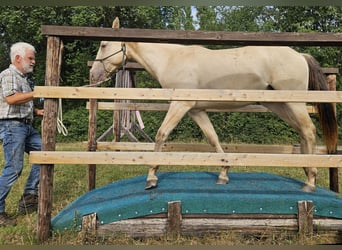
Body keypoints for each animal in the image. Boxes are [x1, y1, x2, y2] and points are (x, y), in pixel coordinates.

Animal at [89, 18, 338, 192]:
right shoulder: (197, 110)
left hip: (294, 103)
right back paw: (307, 171)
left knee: (308, 130)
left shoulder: (180, 105)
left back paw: (310, 180)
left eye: (103, 44)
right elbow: (212, 138)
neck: (171, 59)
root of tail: (300, 55)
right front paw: (223, 173)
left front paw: (151, 177)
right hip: (280, 105)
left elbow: (161, 134)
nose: (93, 74)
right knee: (302, 131)